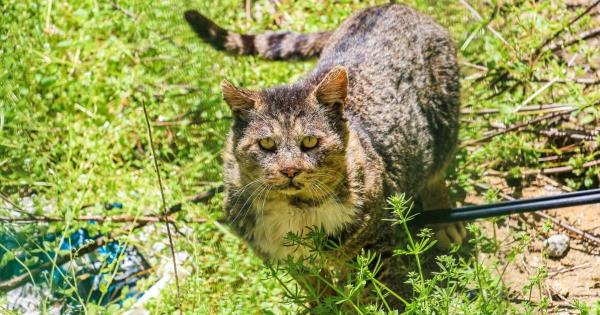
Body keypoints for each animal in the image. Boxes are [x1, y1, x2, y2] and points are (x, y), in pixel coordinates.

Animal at [185, 1, 466, 308]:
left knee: (436, 173)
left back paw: (445, 220)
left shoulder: (374, 242)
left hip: (444, 116)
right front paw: (329, 304)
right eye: (267, 144)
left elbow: (382, 290)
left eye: (310, 141)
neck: (298, 211)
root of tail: (392, 6)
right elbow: (317, 290)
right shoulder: (286, 258)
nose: (290, 169)